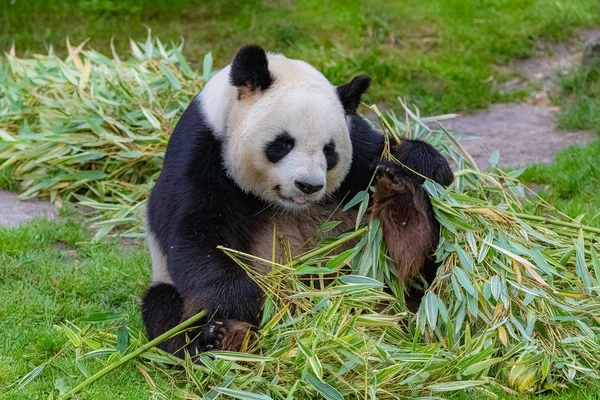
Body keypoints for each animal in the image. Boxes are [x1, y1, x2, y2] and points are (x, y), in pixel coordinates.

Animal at [139, 46, 450, 356]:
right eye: (283, 143)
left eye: (329, 150)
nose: (308, 185)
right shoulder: (200, 151)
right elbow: (196, 231)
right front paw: (236, 301)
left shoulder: (359, 147)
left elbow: (393, 155)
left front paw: (420, 161)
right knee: (163, 308)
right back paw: (219, 337)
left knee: (418, 268)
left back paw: (403, 204)